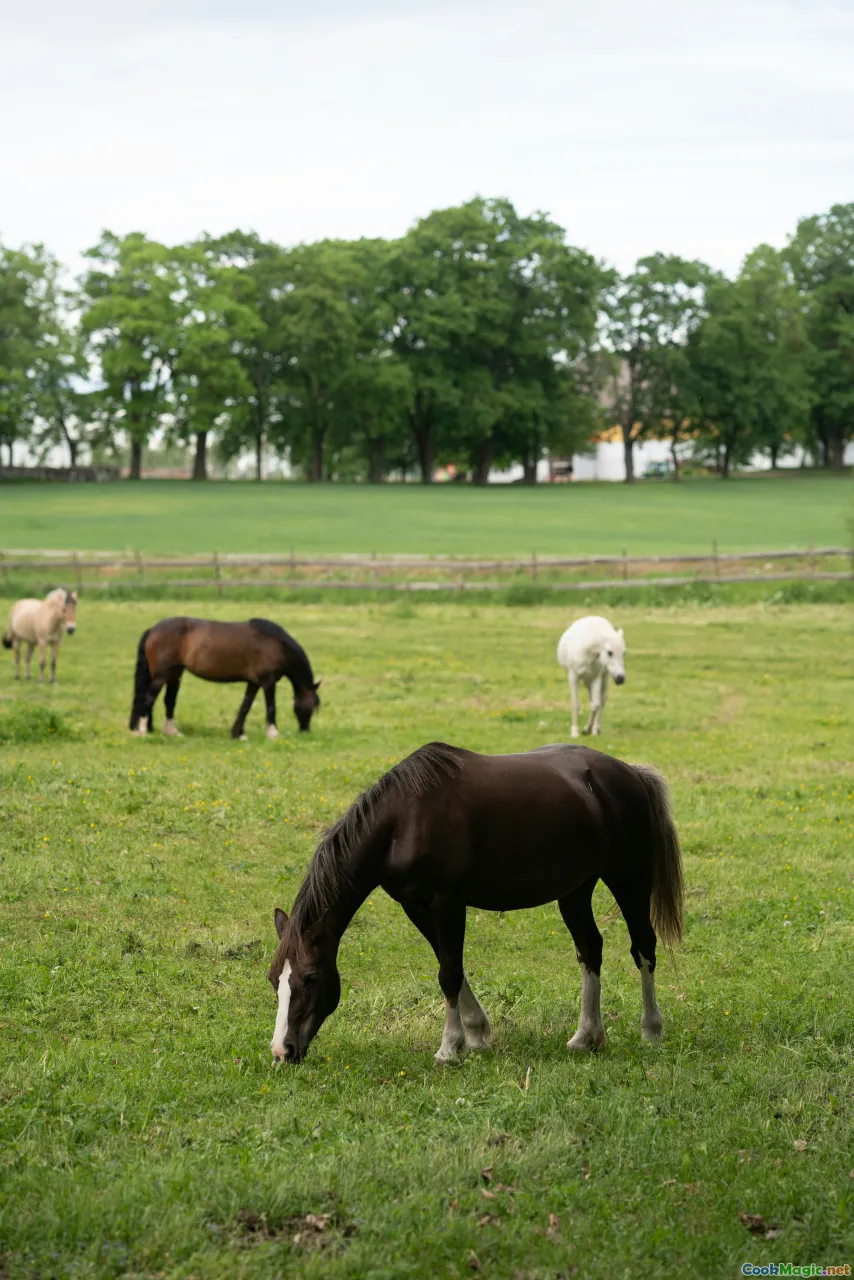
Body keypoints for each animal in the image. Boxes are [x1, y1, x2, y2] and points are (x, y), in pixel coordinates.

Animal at [129, 616, 321, 740]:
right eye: (312, 706)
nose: (306, 731)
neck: (277, 645)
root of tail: (152, 630)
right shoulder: (268, 682)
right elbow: (271, 706)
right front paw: (273, 733)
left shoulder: (254, 683)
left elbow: (246, 706)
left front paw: (237, 734)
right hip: (161, 676)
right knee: (148, 698)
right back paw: (142, 731)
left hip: (174, 675)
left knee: (168, 700)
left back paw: (171, 732)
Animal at [267, 741, 684, 1066]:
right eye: (274, 980)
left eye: (310, 977)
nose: (282, 1050)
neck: (404, 821)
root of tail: (629, 773)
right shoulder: (415, 905)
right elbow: (449, 964)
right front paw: (478, 1033)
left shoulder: (447, 902)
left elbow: (449, 973)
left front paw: (450, 1048)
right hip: (575, 890)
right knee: (590, 949)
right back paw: (586, 1037)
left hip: (630, 881)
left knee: (643, 947)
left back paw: (651, 1032)